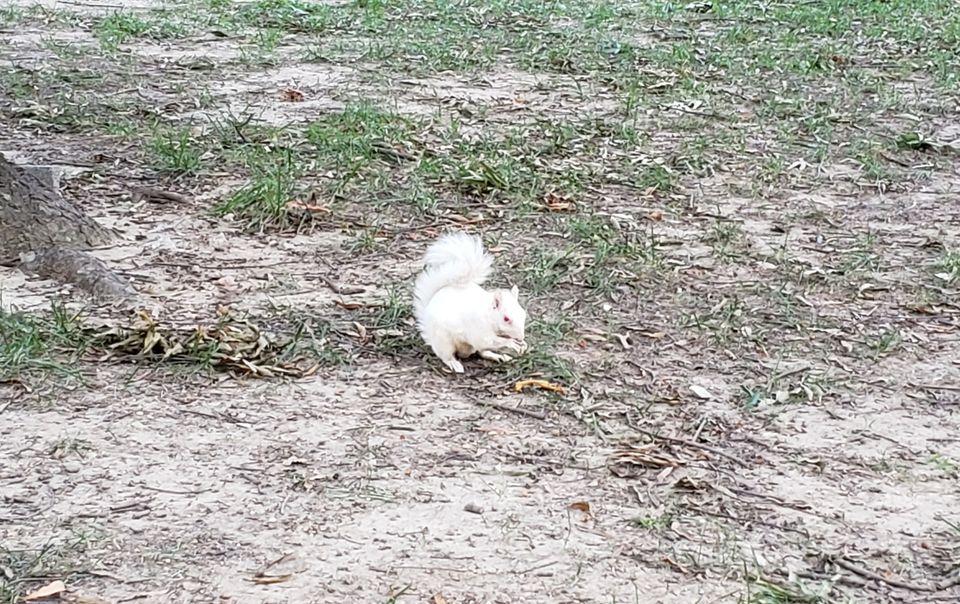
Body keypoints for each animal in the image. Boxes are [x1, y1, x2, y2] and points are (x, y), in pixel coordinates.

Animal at [412, 231, 528, 372]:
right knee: (447, 356)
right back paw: (454, 364)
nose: (521, 337)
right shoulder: (478, 330)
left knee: (482, 352)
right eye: (506, 319)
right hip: (443, 342)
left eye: (523, 314)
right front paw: (512, 343)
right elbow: (490, 340)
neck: (488, 315)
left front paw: (522, 344)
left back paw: (499, 357)